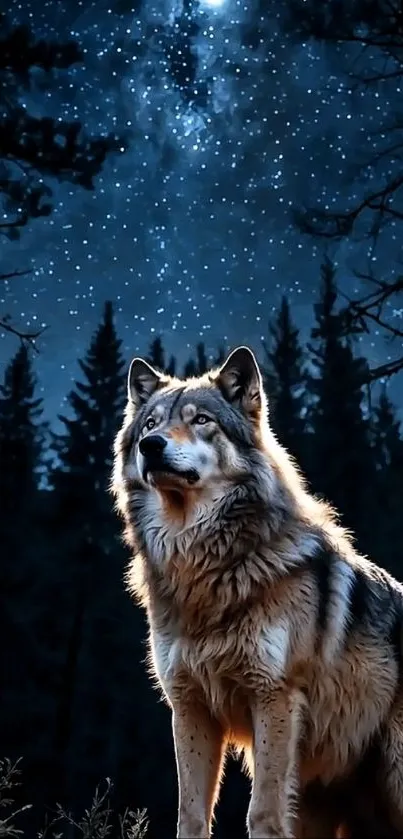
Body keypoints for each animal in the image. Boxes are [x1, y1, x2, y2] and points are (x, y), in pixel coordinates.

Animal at [112, 345, 403, 839]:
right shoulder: (189, 707)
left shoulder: (274, 697)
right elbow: (190, 814)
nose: (152, 446)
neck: (204, 567)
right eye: (150, 425)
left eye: (201, 420)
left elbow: (262, 812)